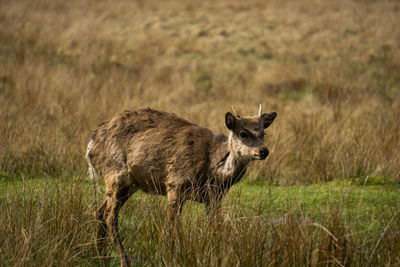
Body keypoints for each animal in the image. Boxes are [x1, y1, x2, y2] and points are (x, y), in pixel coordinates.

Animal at [86, 104, 276, 266]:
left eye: (263, 134)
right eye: (243, 133)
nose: (264, 151)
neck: (213, 168)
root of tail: (91, 143)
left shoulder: (214, 197)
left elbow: (215, 226)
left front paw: (215, 255)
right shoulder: (175, 183)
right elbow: (171, 225)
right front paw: (168, 257)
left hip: (129, 185)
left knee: (99, 211)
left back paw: (101, 257)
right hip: (116, 174)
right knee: (110, 216)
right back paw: (123, 260)